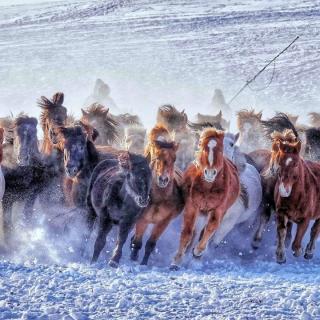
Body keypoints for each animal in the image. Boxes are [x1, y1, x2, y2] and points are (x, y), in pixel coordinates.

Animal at [129, 125, 184, 264]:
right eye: (156, 157)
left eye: (174, 159)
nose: (163, 179)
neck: (159, 198)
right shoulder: (142, 219)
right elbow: (137, 242)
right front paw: (133, 258)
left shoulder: (163, 222)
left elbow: (150, 244)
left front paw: (144, 263)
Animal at [171, 127, 239, 270]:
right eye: (201, 145)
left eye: (220, 148)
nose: (210, 172)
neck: (208, 186)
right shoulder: (192, 205)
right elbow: (187, 231)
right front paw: (177, 260)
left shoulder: (219, 209)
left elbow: (210, 228)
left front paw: (197, 252)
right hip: (201, 212)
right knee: (196, 232)